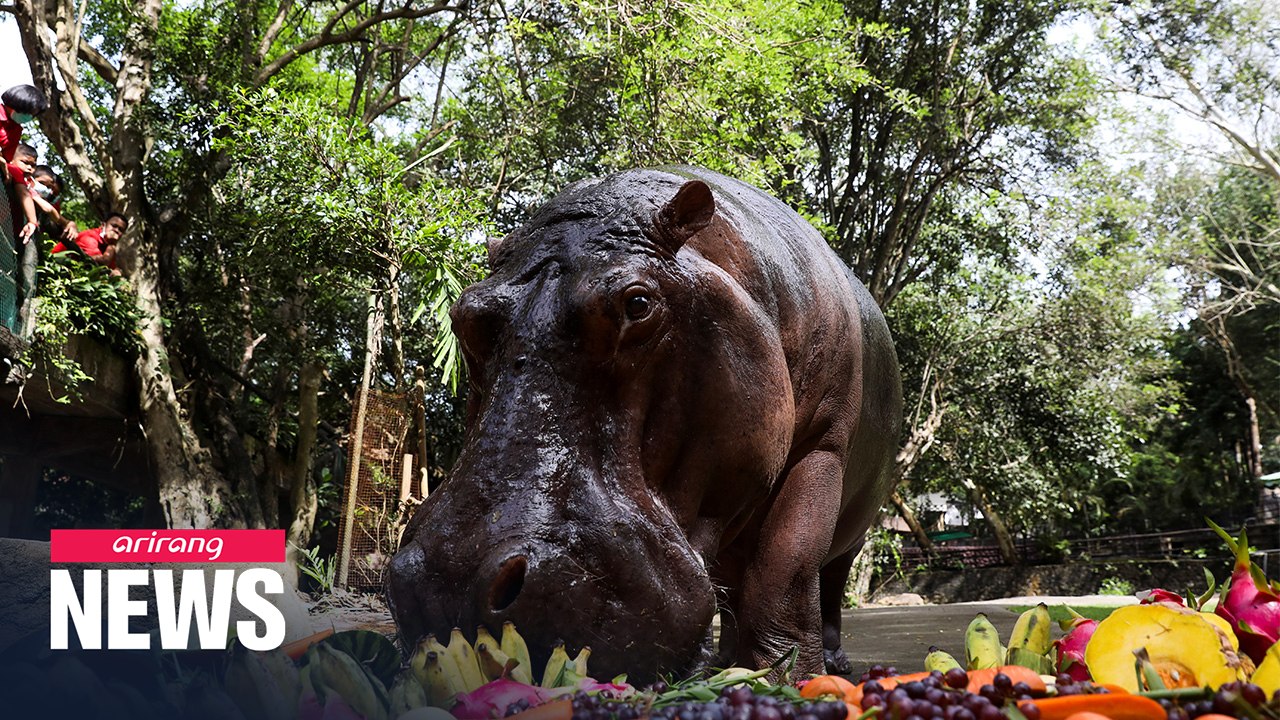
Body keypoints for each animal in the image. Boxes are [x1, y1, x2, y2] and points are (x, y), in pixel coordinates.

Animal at [387, 167, 902, 682]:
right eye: (464, 316)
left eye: (637, 303)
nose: (451, 580)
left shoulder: (822, 447)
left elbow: (787, 568)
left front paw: (789, 679)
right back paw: (725, 660)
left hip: (855, 527)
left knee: (828, 579)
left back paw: (831, 662)